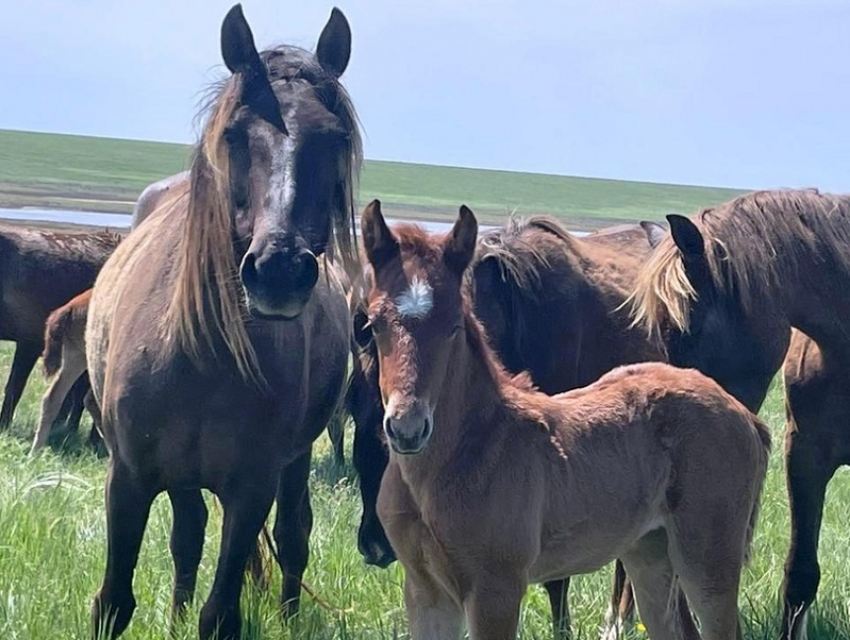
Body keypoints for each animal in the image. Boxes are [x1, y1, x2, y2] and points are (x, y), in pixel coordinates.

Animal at [86, 6, 362, 640]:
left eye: (335, 139)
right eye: (235, 134)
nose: (279, 269)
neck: (200, 357)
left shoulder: (251, 487)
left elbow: (222, 612)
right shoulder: (128, 478)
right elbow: (114, 600)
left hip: (293, 463)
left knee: (293, 535)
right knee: (187, 538)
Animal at [358, 202, 768, 640]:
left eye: (453, 325)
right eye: (372, 326)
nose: (407, 429)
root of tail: (744, 414)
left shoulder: (496, 590)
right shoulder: (425, 592)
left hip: (709, 559)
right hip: (650, 554)